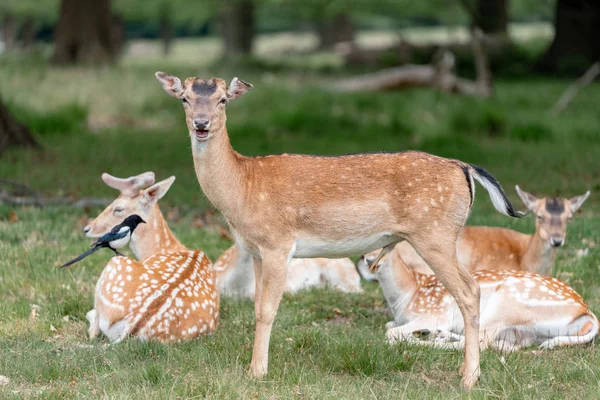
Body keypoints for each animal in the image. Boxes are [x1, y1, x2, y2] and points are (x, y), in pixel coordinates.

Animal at [82, 170, 218, 342]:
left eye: (118, 208)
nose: (87, 229)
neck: (168, 248)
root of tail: (132, 325)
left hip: (116, 264)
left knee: (94, 328)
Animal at [155, 72, 524, 388]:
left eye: (222, 100)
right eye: (185, 98)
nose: (201, 124)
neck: (242, 188)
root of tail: (465, 168)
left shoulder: (278, 242)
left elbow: (268, 309)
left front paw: (257, 371)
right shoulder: (257, 250)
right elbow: (257, 304)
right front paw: (254, 366)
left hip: (436, 233)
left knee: (469, 290)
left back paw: (469, 378)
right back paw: (466, 372)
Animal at [358, 252, 596, 352]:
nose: (366, 258)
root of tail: (587, 313)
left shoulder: (435, 314)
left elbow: (390, 330)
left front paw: (408, 335)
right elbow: (389, 324)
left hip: (505, 303)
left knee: (479, 344)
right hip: (523, 332)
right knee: (505, 346)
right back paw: (439, 335)